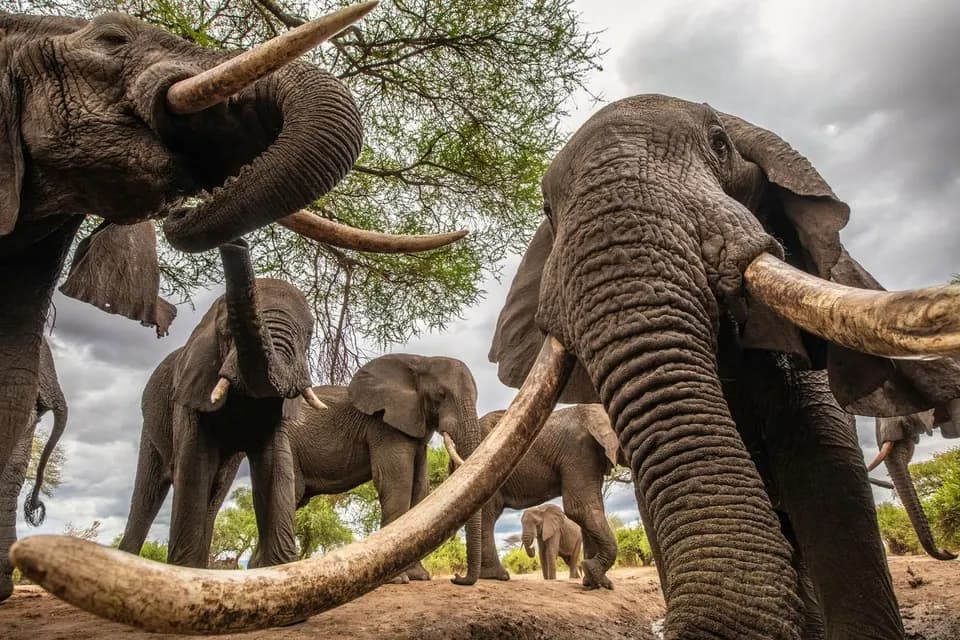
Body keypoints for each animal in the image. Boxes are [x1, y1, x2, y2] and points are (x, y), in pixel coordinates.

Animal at [117, 238, 325, 568]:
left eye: (308, 335)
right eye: (229, 332)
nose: (237, 243)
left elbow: (276, 468)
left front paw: (283, 569)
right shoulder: (189, 394)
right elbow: (194, 466)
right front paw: (183, 572)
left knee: (215, 492)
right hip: (151, 426)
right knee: (148, 495)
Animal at [444, 404, 620, 589]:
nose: (455, 576)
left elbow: (592, 506)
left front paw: (596, 582)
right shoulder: (579, 452)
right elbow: (581, 507)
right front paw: (597, 579)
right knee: (487, 515)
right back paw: (496, 575)